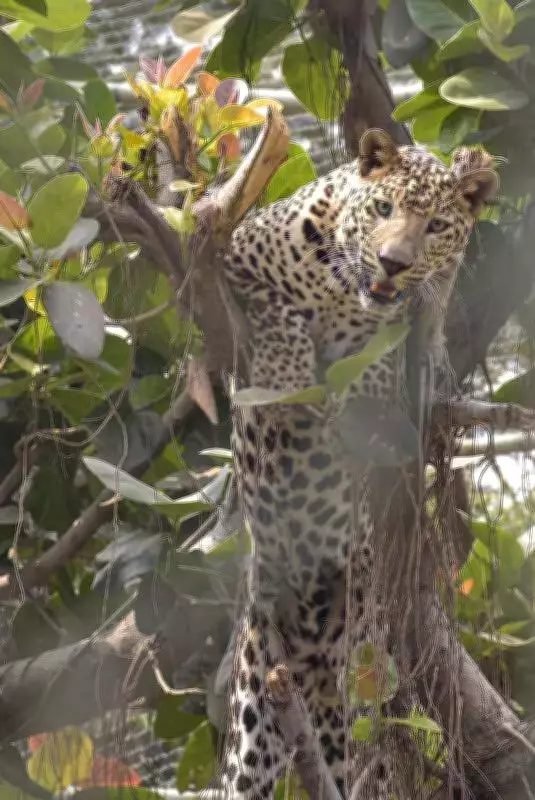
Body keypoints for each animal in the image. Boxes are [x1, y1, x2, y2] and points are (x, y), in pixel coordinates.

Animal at [218, 129, 498, 799]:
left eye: (437, 225)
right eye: (383, 209)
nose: (393, 262)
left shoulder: (392, 347)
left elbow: (376, 379)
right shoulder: (236, 252)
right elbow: (278, 311)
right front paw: (287, 373)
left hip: (352, 693)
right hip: (253, 718)